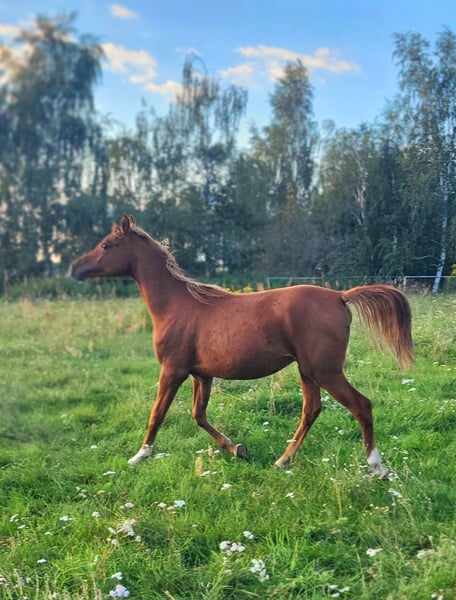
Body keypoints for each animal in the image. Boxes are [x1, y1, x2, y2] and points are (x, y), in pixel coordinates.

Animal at [70, 215, 413, 478]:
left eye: (106, 245)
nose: (73, 269)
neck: (177, 305)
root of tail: (341, 296)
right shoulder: (201, 375)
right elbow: (198, 414)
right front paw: (237, 449)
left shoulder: (173, 370)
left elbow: (157, 413)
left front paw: (139, 456)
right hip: (308, 371)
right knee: (311, 410)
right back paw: (282, 461)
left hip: (325, 370)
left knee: (361, 405)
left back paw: (376, 467)